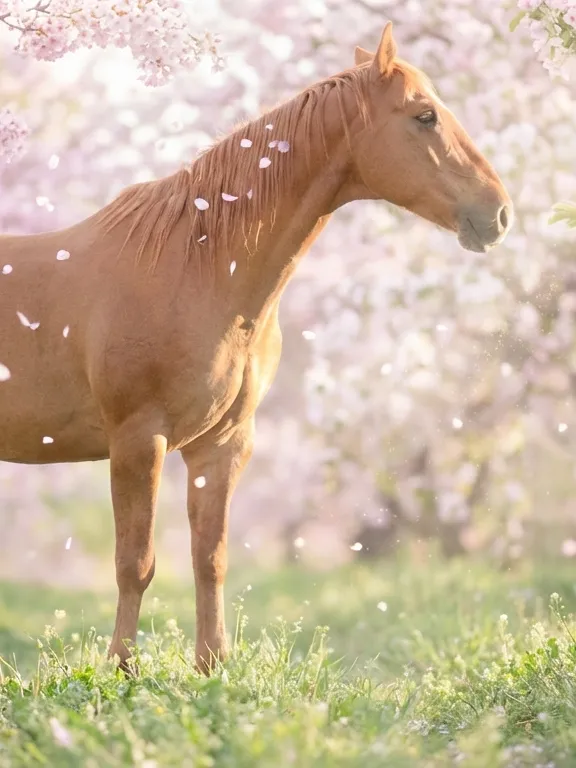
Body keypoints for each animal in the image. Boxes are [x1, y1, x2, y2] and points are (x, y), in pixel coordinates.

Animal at [0, 23, 512, 673]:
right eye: (425, 116)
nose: (498, 212)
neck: (197, 268)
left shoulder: (222, 445)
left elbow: (210, 558)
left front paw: (213, 668)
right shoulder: (139, 441)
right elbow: (134, 563)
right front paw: (122, 672)